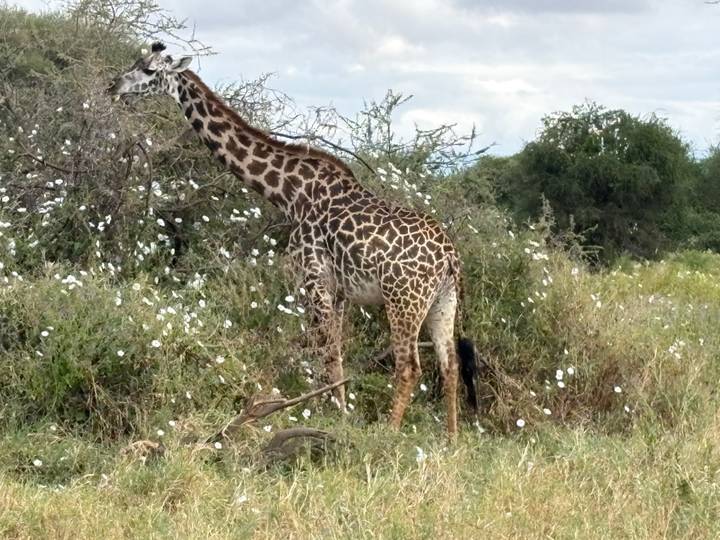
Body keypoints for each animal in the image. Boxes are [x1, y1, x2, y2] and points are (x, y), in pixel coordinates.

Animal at [108, 42, 479, 436]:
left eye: (149, 70)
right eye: (135, 62)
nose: (115, 86)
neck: (290, 193)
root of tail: (451, 256)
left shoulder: (313, 278)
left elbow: (326, 352)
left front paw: (336, 416)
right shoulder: (338, 290)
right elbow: (330, 351)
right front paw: (326, 408)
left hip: (403, 298)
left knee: (409, 366)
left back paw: (390, 433)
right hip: (442, 301)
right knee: (450, 365)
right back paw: (451, 438)